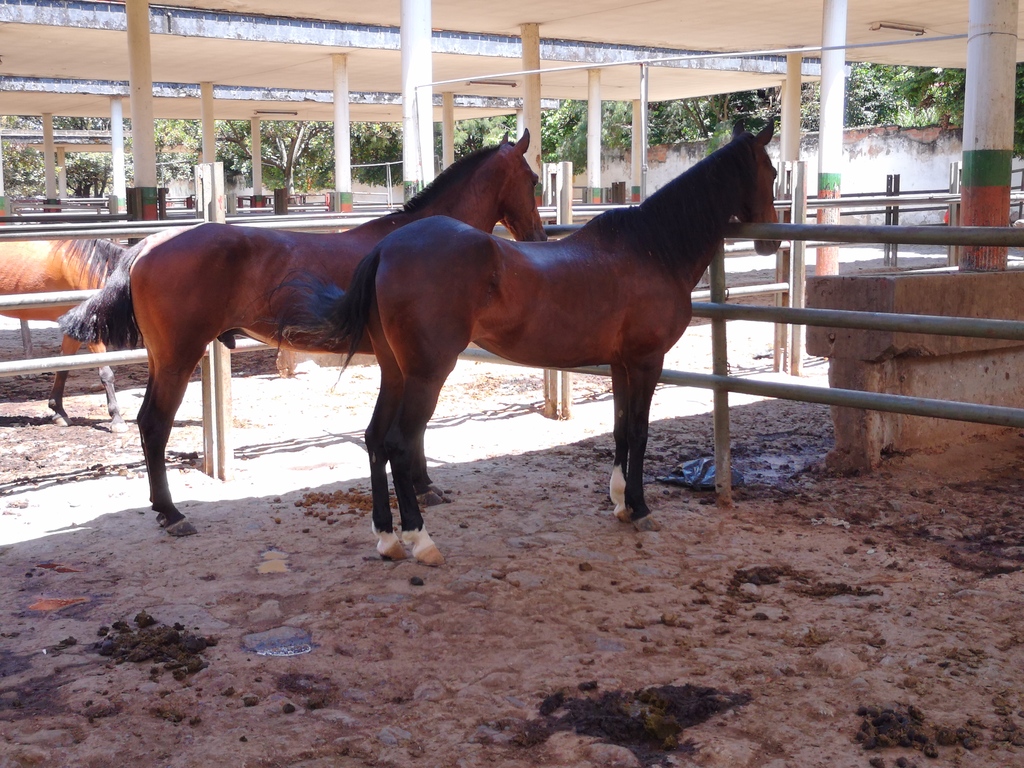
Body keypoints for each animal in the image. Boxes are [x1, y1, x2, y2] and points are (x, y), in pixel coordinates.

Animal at [60, 130, 547, 537]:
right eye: (533, 180)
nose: (539, 236)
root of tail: (148, 244)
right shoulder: (426, 362)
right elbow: (415, 429)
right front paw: (425, 487)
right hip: (179, 358)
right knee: (155, 424)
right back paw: (172, 513)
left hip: (163, 358)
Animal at [280, 121, 781, 566]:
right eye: (772, 172)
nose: (769, 242)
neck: (653, 248)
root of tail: (387, 248)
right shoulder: (646, 362)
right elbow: (639, 432)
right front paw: (639, 509)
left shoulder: (621, 365)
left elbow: (621, 429)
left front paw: (620, 501)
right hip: (426, 374)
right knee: (401, 445)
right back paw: (420, 541)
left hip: (395, 371)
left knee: (374, 440)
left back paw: (387, 539)